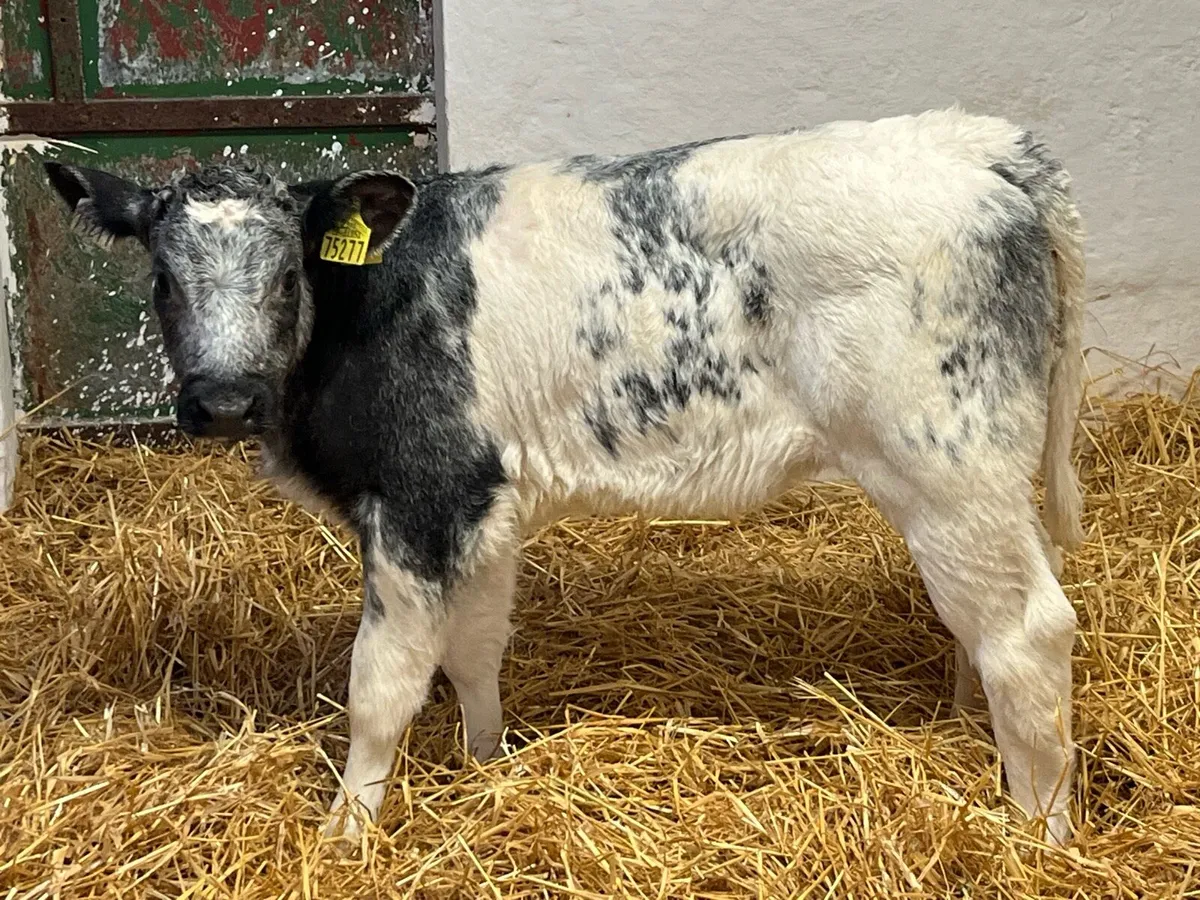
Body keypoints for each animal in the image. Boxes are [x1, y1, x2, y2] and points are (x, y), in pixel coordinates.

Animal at [44, 108, 1087, 845]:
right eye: (162, 281)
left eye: (288, 277)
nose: (223, 402)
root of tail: (985, 144)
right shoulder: (481, 507)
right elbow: (473, 648)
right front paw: (485, 766)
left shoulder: (421, 497)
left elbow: (381, 681)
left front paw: (346, 831)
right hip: (974, 482)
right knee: (985, 624)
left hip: (946, 461)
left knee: (1029, 629)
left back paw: (1037, 832)